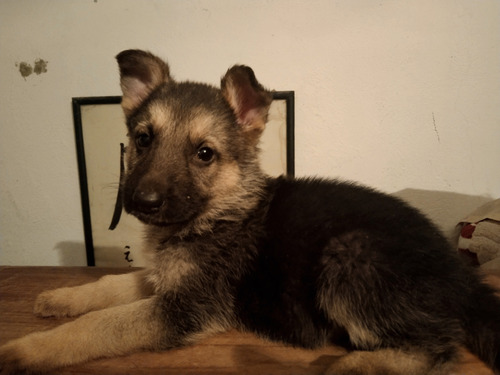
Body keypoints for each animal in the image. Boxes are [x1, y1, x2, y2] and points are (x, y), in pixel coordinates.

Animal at [0, 50, 500, 375]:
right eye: (142, 139)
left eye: (204, 154)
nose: (142, 201)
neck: (218, 213)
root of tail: (464, 278)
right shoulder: (168, 280)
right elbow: (108, 285)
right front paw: (61, 298)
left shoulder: (186, 308)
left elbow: (98, 326)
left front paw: (22, 351)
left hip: (349, 255)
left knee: (438, 351)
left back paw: (351, 366)